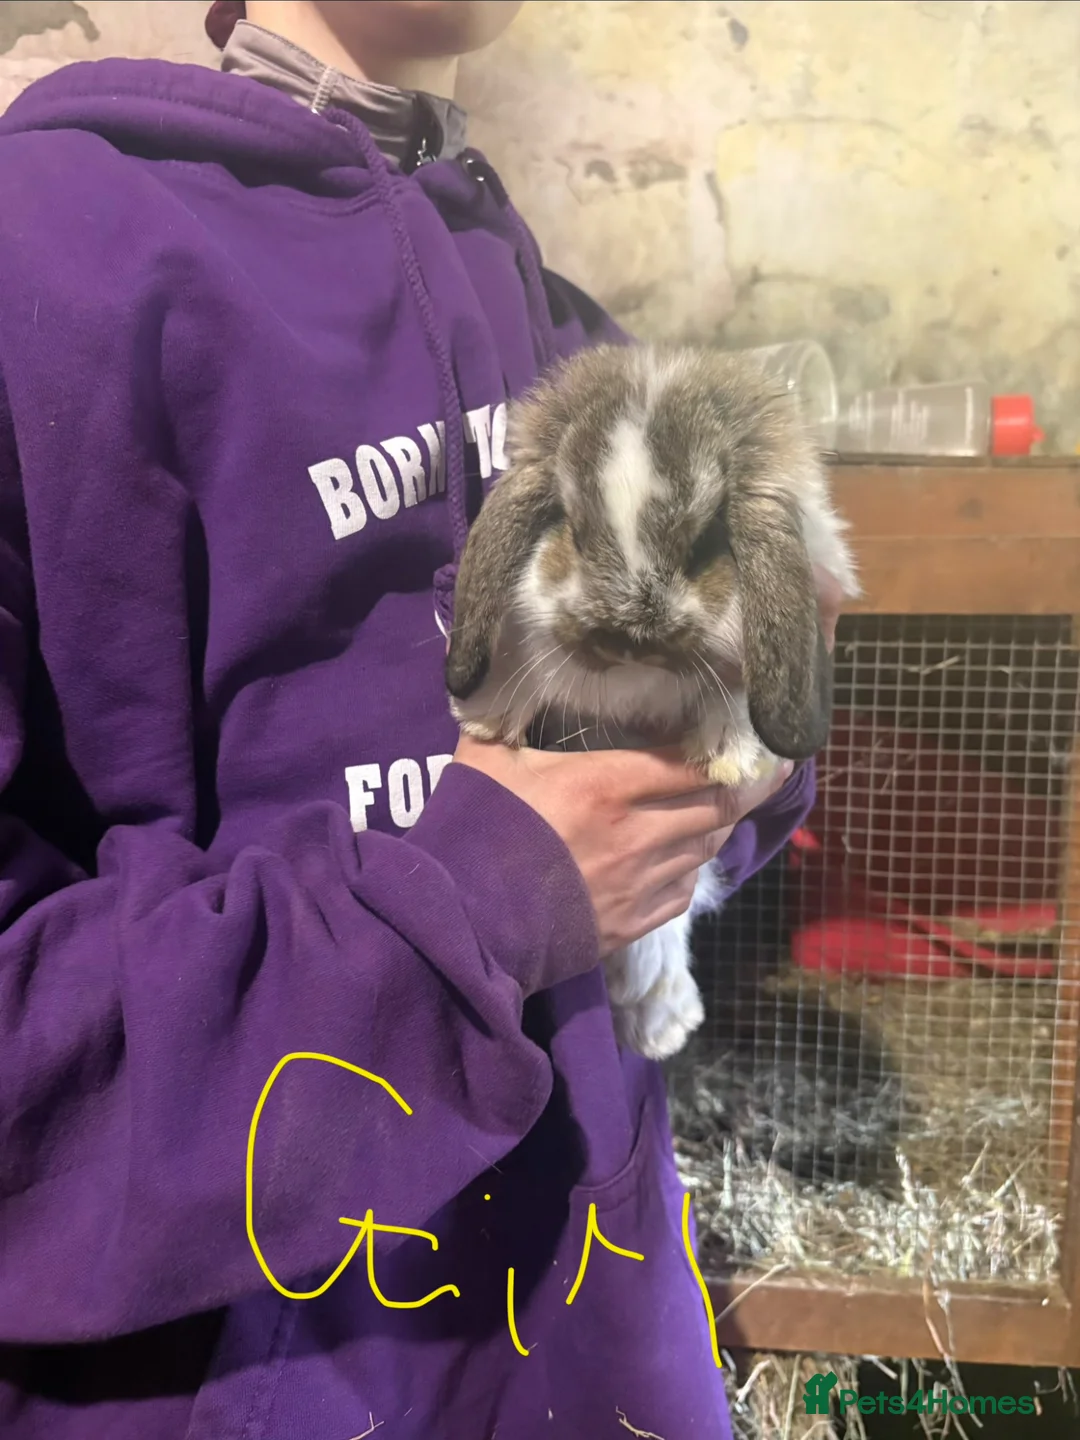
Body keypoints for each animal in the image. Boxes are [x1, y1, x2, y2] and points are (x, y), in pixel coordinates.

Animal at [445, 344, 859, 1061]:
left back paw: (665, 1025)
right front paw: (487, 719)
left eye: (704, 544)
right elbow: (520, 656)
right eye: (573, 532)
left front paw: (726, 754)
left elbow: (736, 692)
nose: (628, 634)